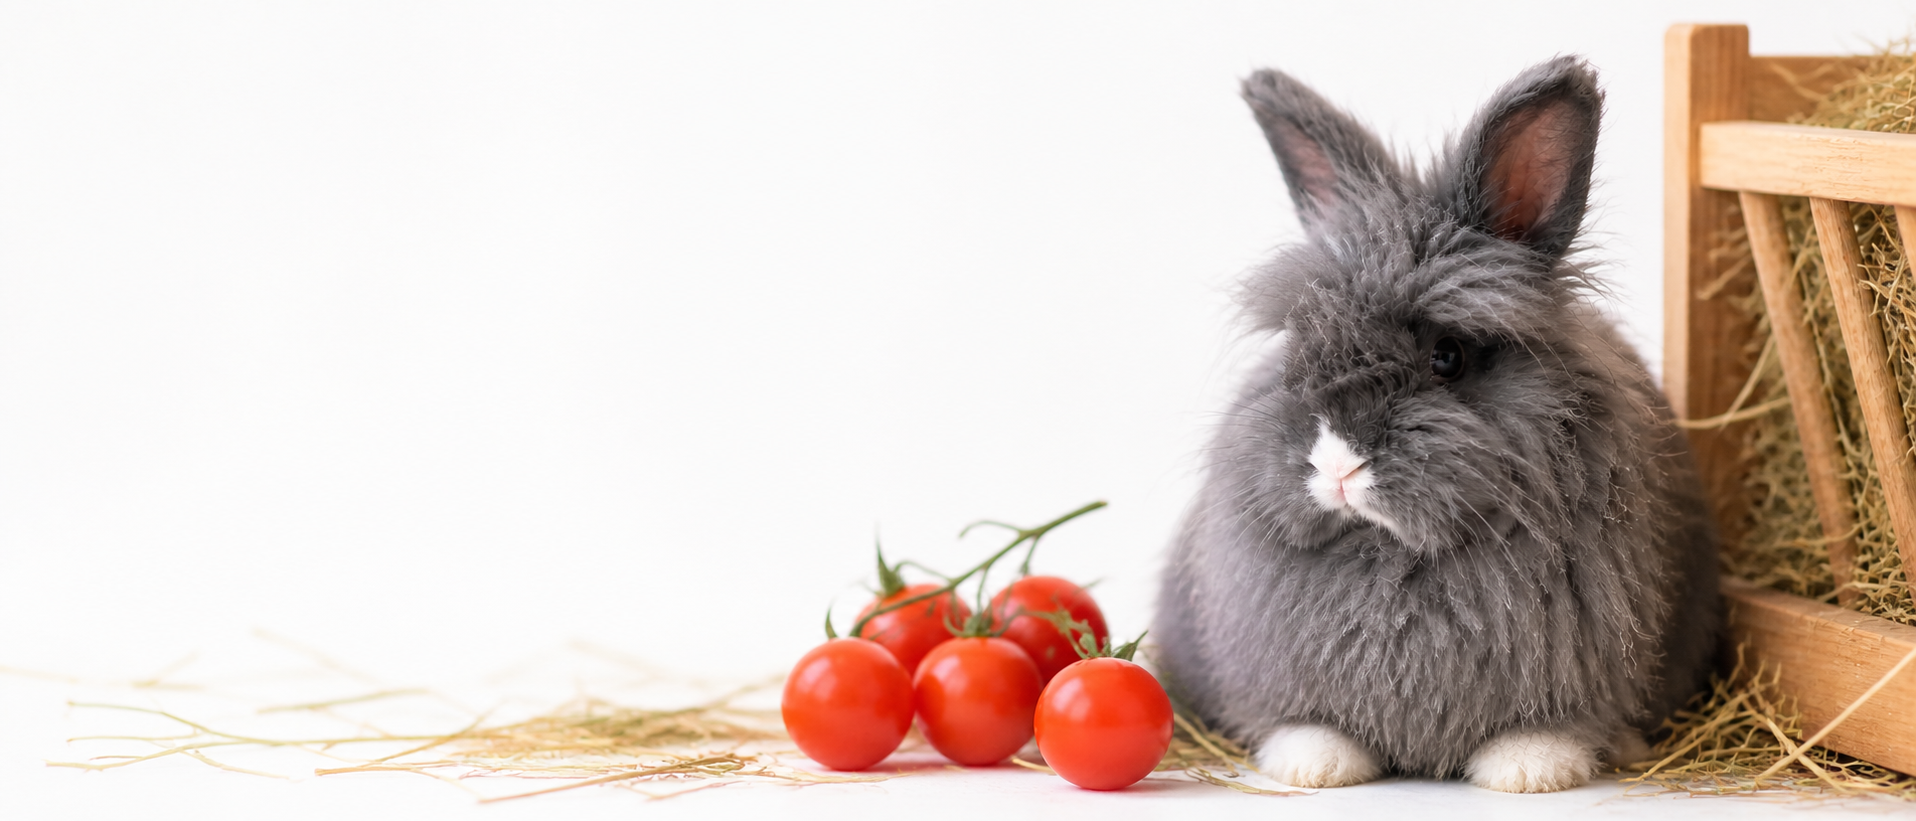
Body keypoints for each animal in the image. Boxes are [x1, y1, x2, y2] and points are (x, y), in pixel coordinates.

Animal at [1152, 56, 1719, 794]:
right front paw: (1316, 764)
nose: (1337, 463)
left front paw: (1529, 769)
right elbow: (1306, 724)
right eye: (1302, 348)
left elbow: (1550, 727)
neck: (1397, 556)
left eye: (1447, 356)